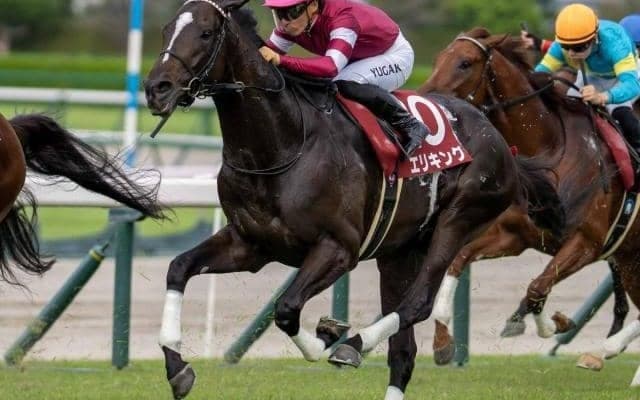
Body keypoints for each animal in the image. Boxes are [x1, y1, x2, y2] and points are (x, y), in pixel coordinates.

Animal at [144, 3, 565, 399]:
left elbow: (286, 309)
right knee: (403, 351)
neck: (284, 143)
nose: (156, 88)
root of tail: (500, 139)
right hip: (400, 251)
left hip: (459, 218)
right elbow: (178, 268)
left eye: (205, 33)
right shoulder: (250, 245)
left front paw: (329, 336)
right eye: (165, 29)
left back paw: (354, 345)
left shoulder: (338, 248)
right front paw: (177, 367)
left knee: (417, 303)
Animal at [419, 27, 640, 376]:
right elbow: (459, 259)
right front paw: (442, 342)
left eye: (465, 63)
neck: (550, 151)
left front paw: (557, 324)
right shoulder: (515, 235)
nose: (424, 101)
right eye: (440, 57)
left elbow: (537, 288)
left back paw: (604, 349)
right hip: (630, 258)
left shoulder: (587, 243)